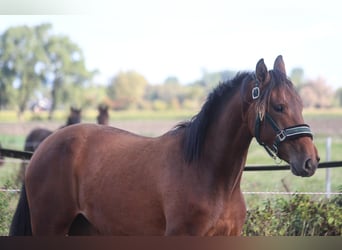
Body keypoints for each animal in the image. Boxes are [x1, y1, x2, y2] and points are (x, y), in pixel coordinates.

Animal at [10, 55, 320, 235]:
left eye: (300, 104)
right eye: (279, 106)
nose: (310, 161)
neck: (208, 173)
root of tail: (44, 147)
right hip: (50, 227)